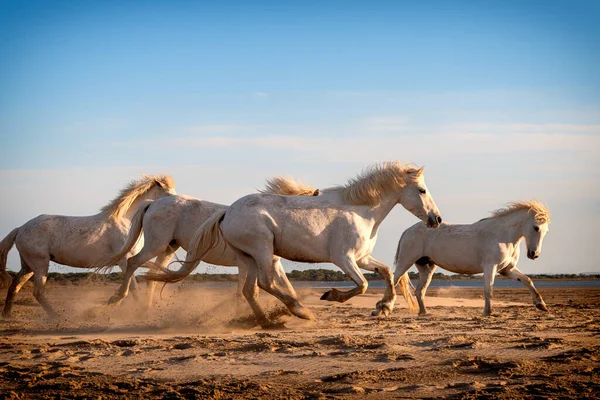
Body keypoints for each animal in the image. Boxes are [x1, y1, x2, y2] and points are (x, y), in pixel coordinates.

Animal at [0, 175, 176, 318]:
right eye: (168, 194)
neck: (125, 220)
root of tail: (20, 228)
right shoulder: (125, 260)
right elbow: (132, 289)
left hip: (28, 265)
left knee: (15, 285)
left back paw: (7, 315)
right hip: (39, 264)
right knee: (38, 292)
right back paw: (56, 317)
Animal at [95, 177, 318, 306]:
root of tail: (152, 203)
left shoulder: (269, 263)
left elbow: (285, 287)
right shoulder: (250, 262)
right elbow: (246, 290)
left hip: (168, 248)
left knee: (152, 276)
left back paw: (146, 311)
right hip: (155, 245)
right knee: (133, 263)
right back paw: (117, 298)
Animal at [145, 162, 440, 328]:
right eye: (423, 190)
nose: (436, 219)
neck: (360, 210)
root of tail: (227, 212)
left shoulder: (362, 258)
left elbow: (386, 273)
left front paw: (383, 308)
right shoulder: (344, 259)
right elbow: (364, 284)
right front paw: (331, 295)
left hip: (248, 257)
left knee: (250, 290)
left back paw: (268, 322)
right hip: (262, 251)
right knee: (265, 283)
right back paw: (301, 311)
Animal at [382, 202, 552, 318]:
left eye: (546, 231)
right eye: (536, 227)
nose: (534, 254)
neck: (503, 235)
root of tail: (407, 231)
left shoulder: (507, 270)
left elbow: (527, 280)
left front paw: (541, 305)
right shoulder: (490, 267)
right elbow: (488, 290)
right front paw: (487, 313)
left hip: (427, 267)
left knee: (419, 291)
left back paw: (424, 313)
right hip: (405, 262)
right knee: (394, 282)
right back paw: (384, 309)